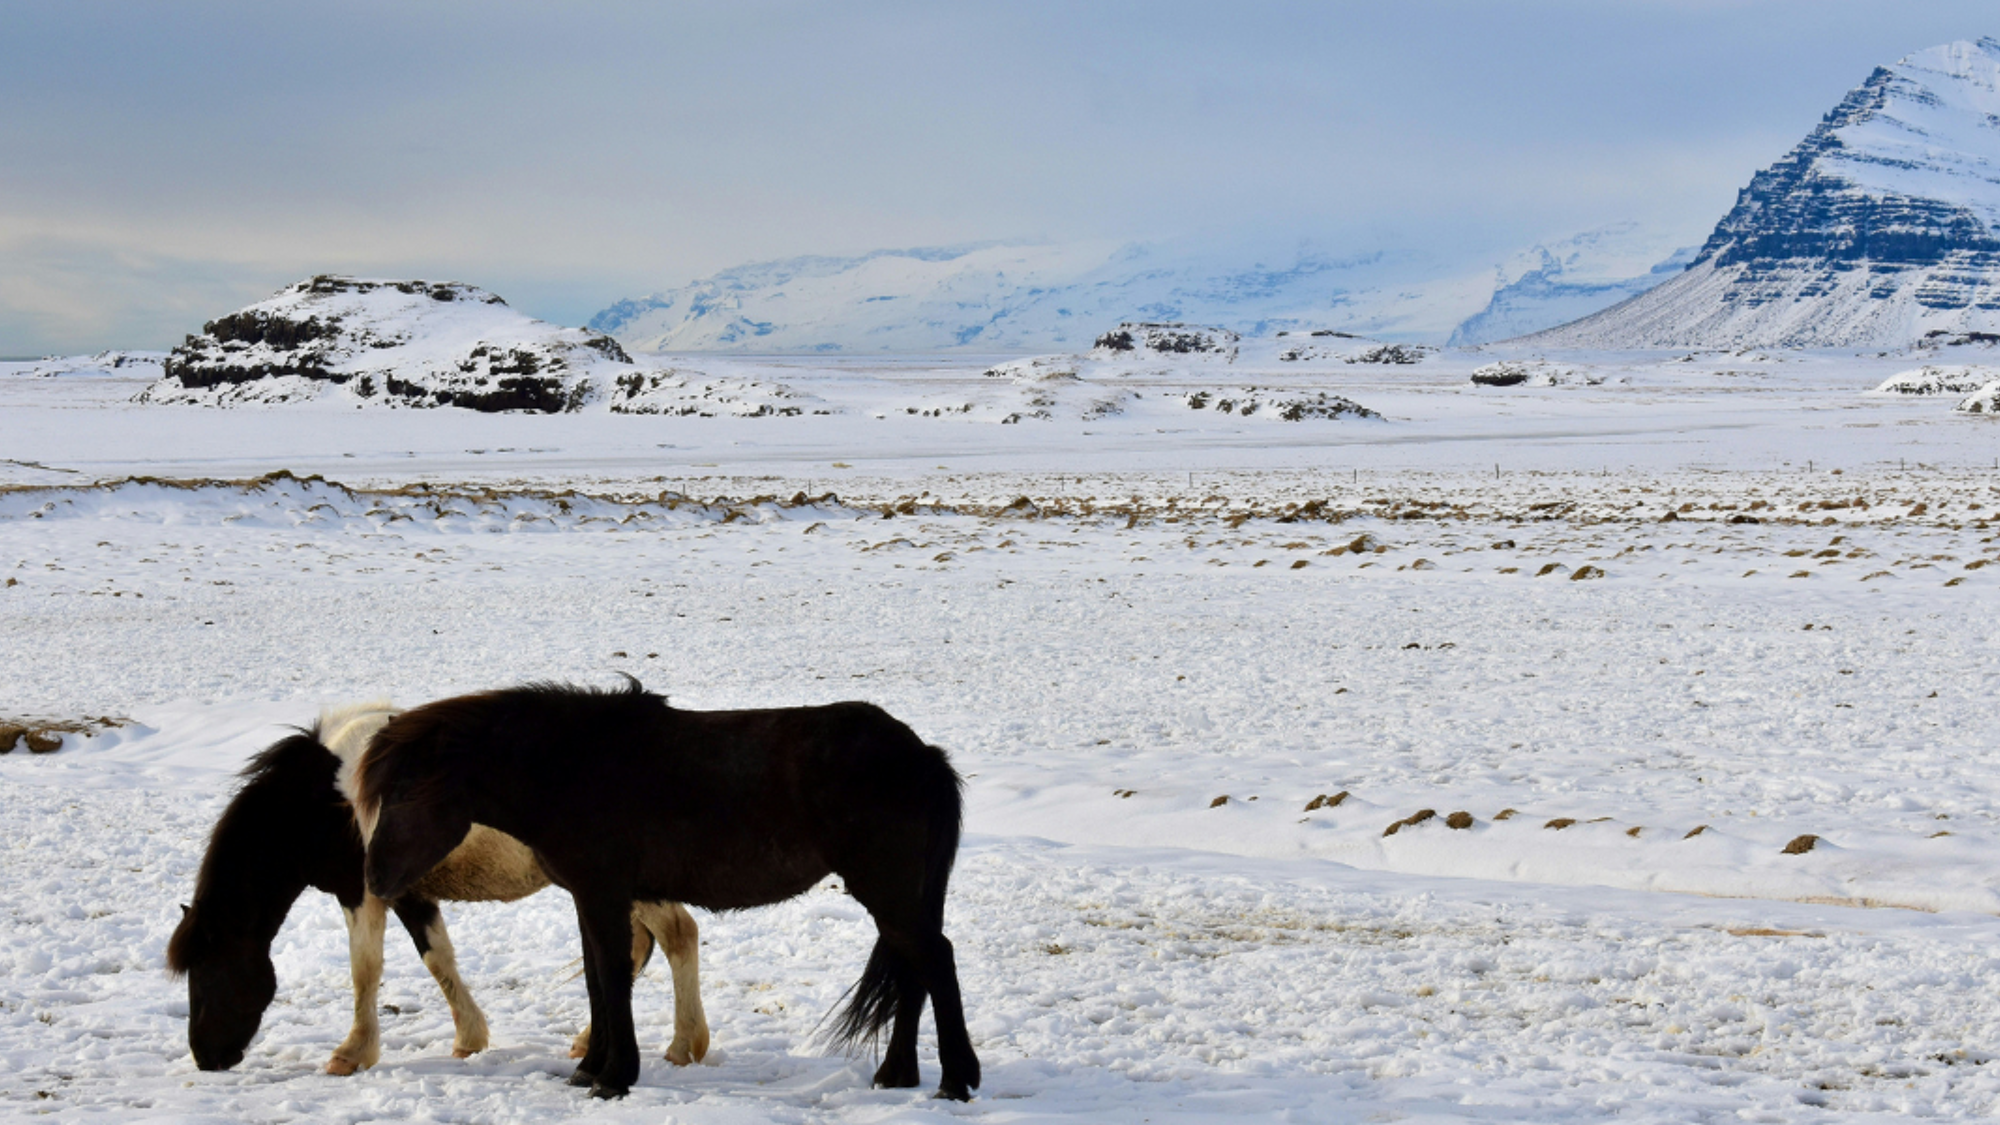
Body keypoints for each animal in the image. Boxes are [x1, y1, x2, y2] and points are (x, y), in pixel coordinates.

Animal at [166, 702, 709, 1075]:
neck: (324, 799)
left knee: (679, 934)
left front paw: (351, 1053)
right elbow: (437, 957)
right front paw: (469, 1037)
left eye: (207, 974)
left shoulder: (362, 893)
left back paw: (685, 1045)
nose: (205, 1057)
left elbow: (365, 968)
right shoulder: (409, 894)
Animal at [353, 678, 979, 1101]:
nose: (373, 879)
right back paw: (896, 1075)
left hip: (887, 891)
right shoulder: (588, 898)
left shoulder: (603, 894)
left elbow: (611, 979)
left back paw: (955, 1080)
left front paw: (613, 1077)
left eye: (405, 793)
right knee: (914, 968)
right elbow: (597, 982)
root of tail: (923, 755)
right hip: (899, 896)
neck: (569, 766)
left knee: (936, 960)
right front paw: (591, 1068)